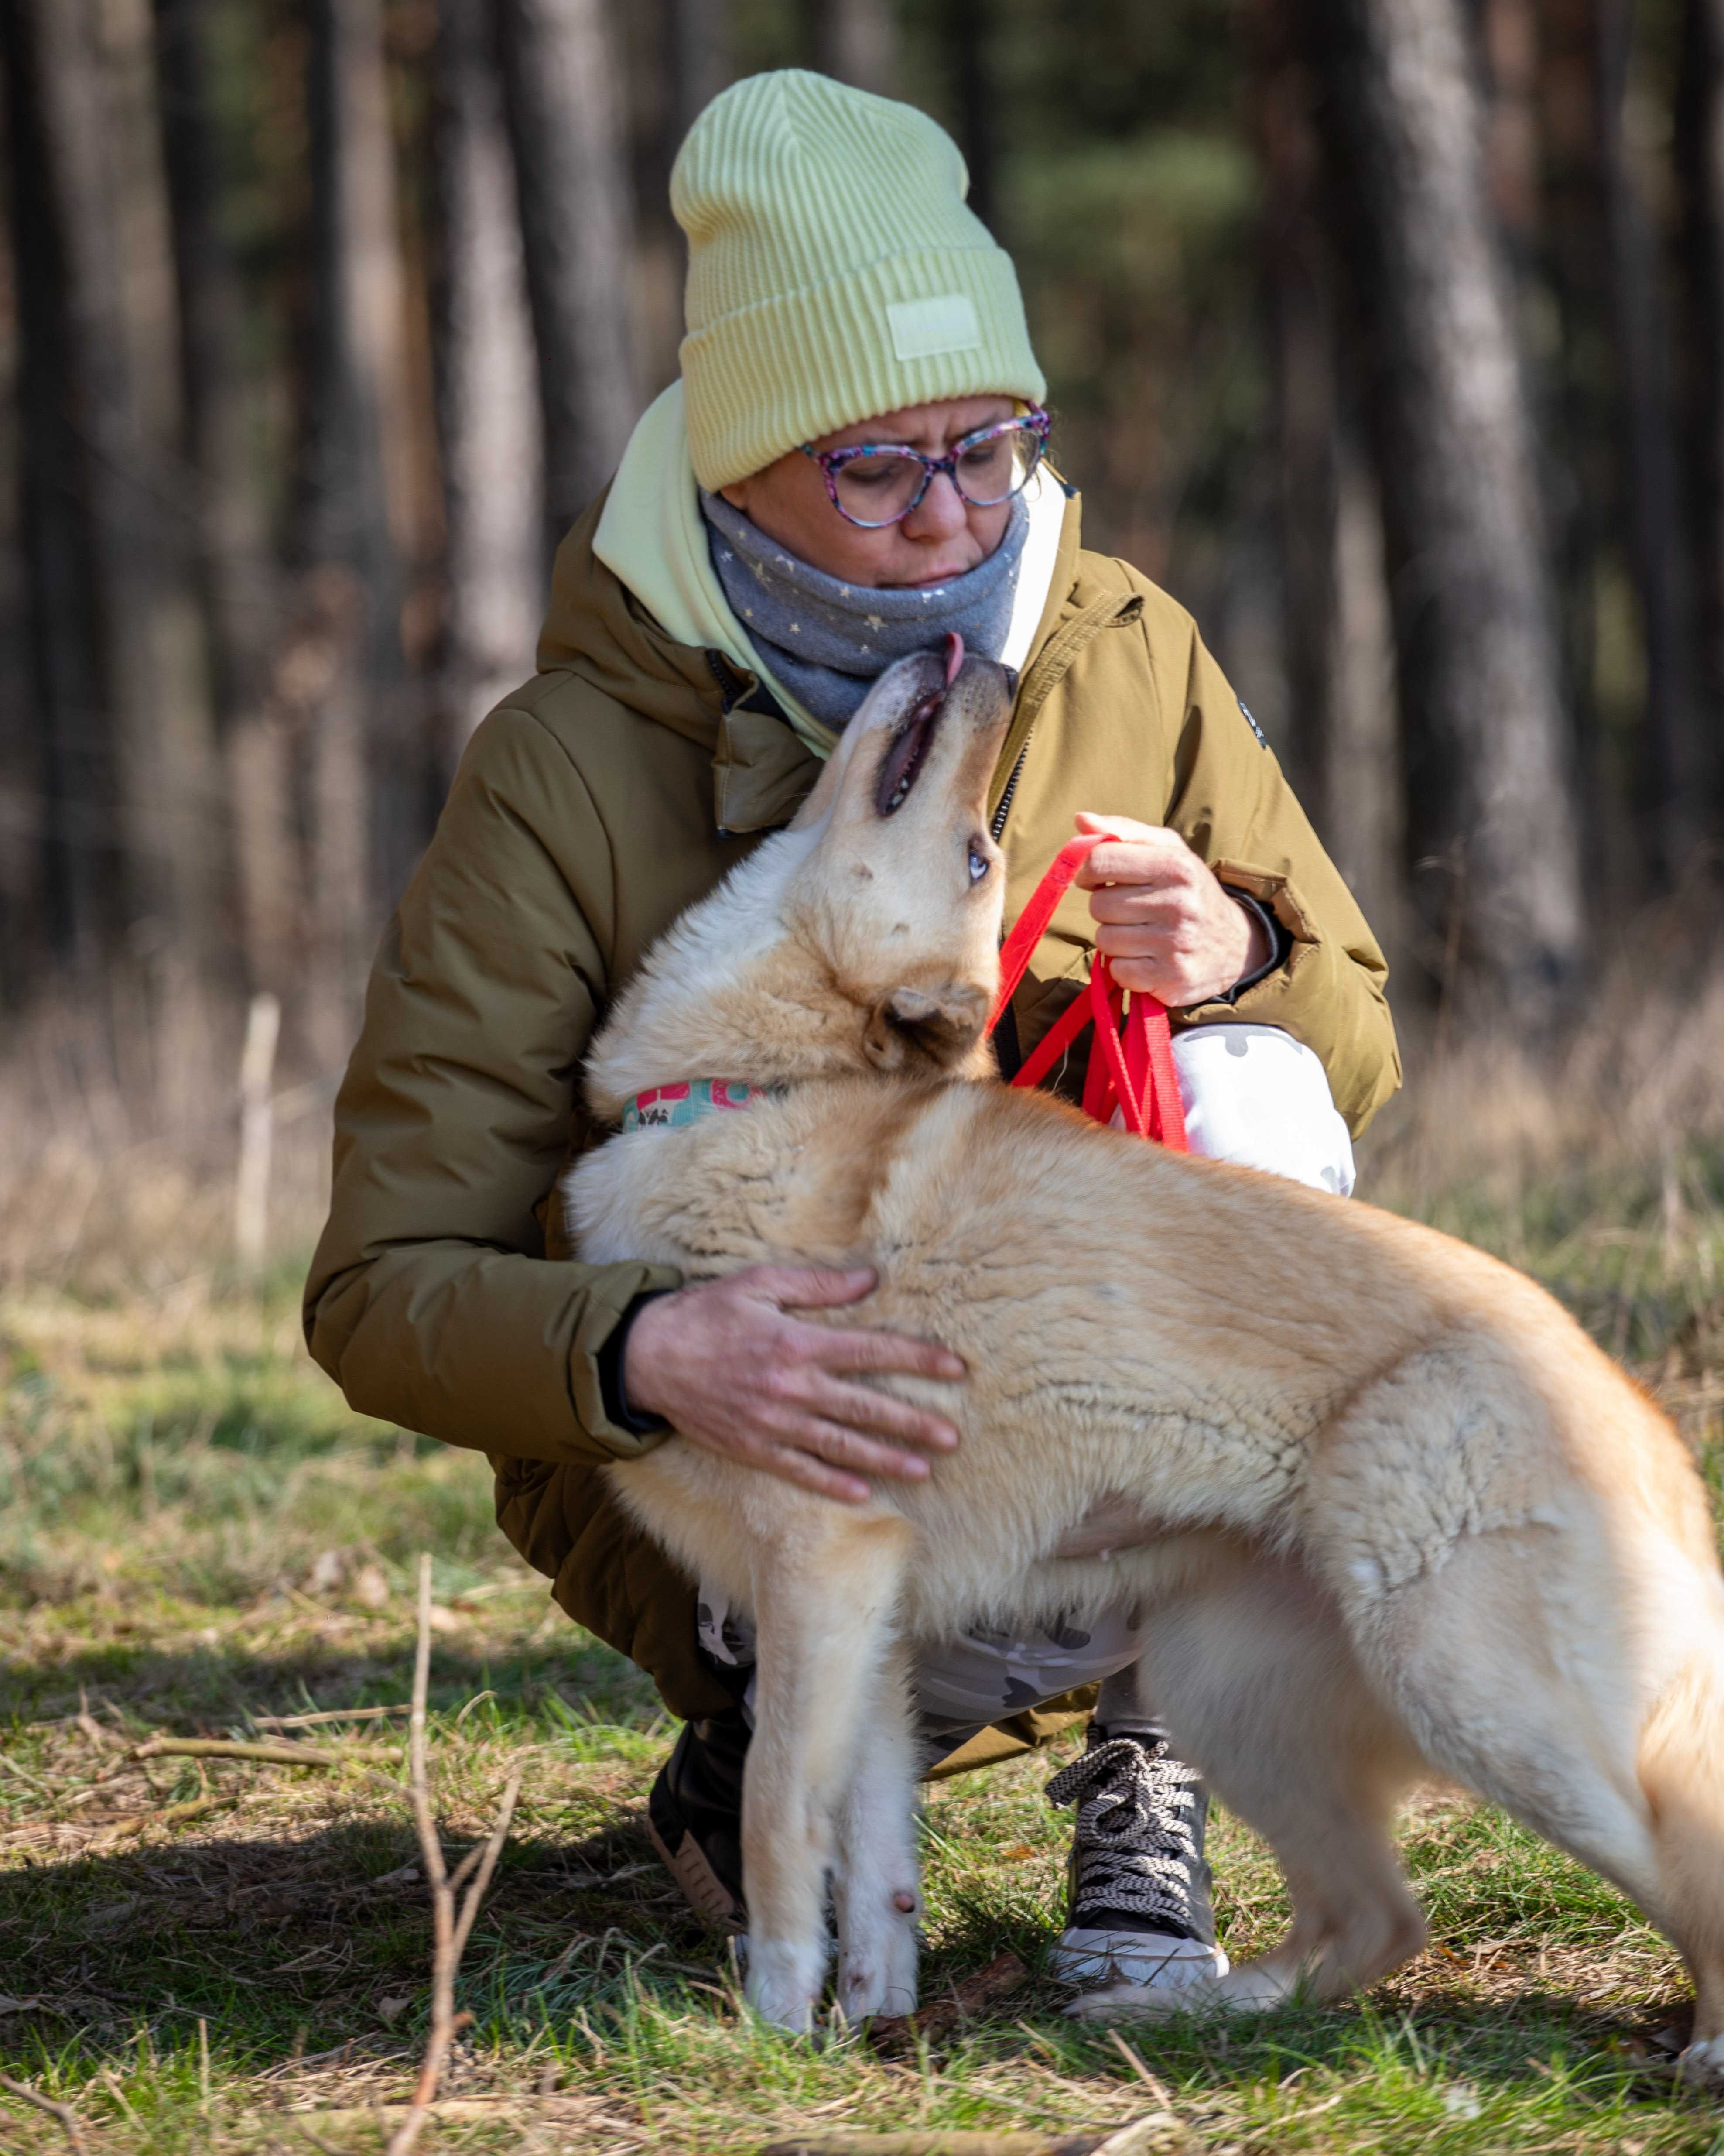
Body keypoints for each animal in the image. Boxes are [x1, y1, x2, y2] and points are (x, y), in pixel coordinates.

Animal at [564, 642, 1724, 2052]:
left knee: (1671, 1858)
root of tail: (1632, 1405)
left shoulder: (819, 1576)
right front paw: (878, 2017)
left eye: (976, 857)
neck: (743, 1096)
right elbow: (878, 1853)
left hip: (1481, 1696)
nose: (982, 660)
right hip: (1231, 1685)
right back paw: (1185, 2013)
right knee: (1375, 1919)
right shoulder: (872, 1626)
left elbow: (786, 1812)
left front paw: (780, 2026)